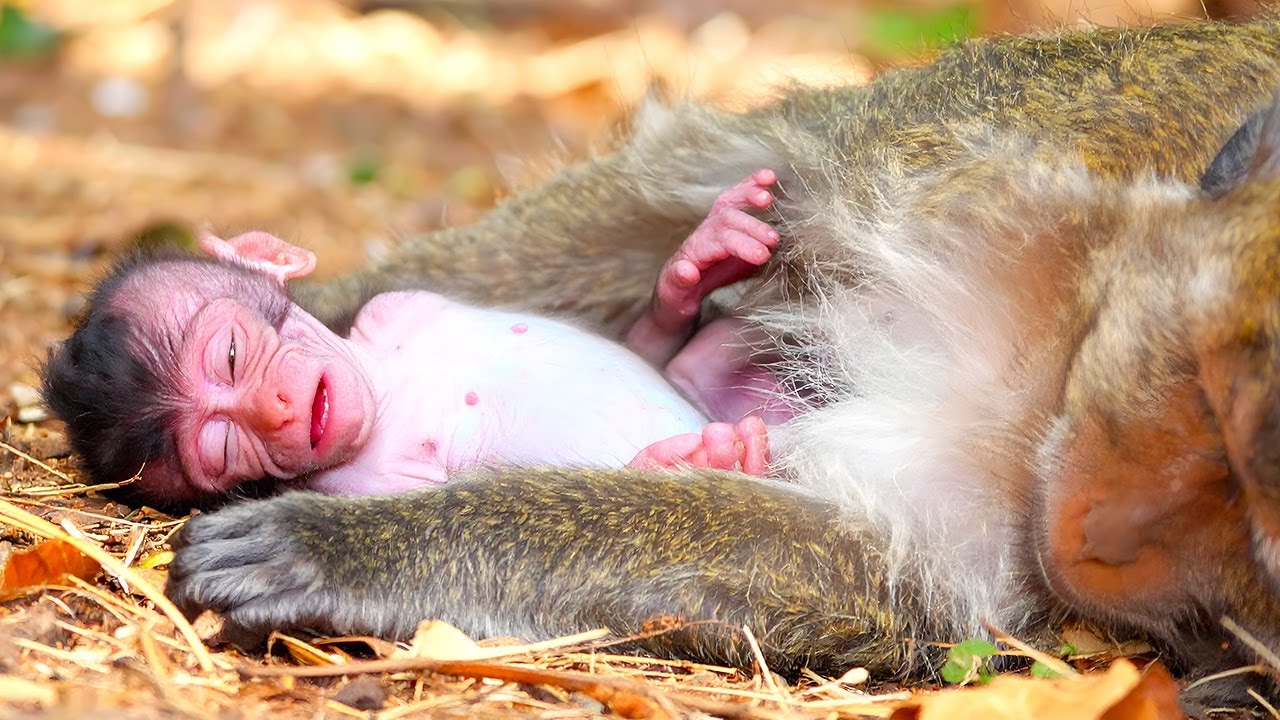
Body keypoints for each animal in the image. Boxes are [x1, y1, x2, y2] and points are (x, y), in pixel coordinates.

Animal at [42, 171, 785, 504]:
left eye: (229, 354)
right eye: (225, 451)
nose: (274, 411)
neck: (381, 386)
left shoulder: (395, 306)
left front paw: (699, 261)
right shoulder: (353, 485)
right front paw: (680, 467)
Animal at [152, 16, 1280, 701]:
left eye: (1256, 540)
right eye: (1196, 392)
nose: (1094, 543)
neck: (1053, 351)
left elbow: (860, 564)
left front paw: (346, 547)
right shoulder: (1033, 128)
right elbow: (697, 174)